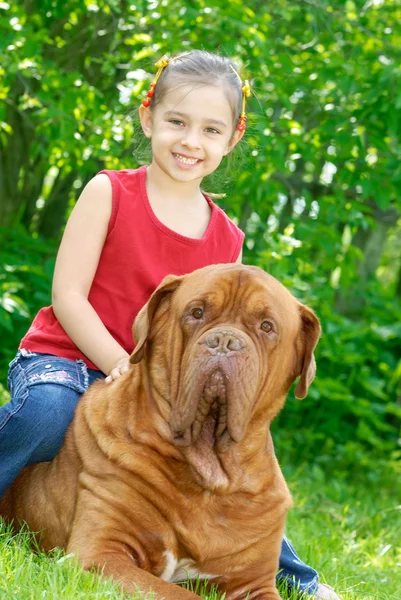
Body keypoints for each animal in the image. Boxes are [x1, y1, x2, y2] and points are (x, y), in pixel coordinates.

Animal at [0, 264, 318, 600]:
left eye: (267, 326)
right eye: (196, 312)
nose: (224, 341)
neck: (208, 477)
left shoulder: (254, 583)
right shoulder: (100, 554)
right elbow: (180, 593)